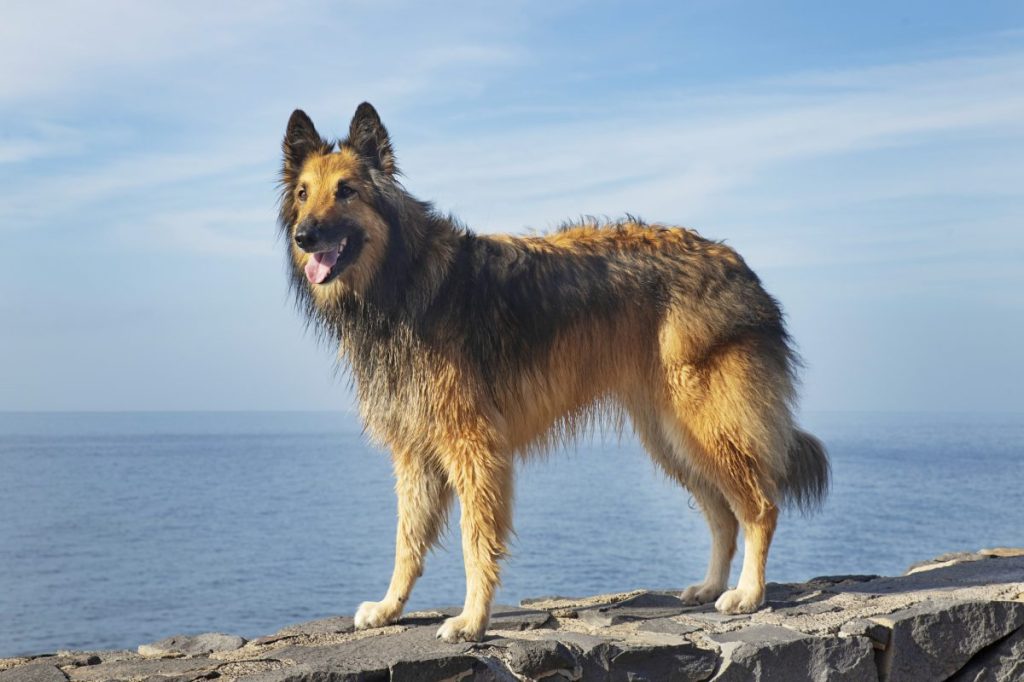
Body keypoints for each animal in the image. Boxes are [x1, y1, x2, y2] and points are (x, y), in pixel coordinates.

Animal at [276, 99, 827, 638]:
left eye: (345, 191)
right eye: (303, 193)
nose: (304, 236)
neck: (402, 277)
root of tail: (740, 265)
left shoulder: (474, 446)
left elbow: (475, 542)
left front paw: (472, 619)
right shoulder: (415, 453)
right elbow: (406, 541)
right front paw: (390, 607)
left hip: (709, 423)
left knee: (759, 507)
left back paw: (748, 593)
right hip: (673, 435)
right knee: (722, 516)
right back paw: (711, 586)